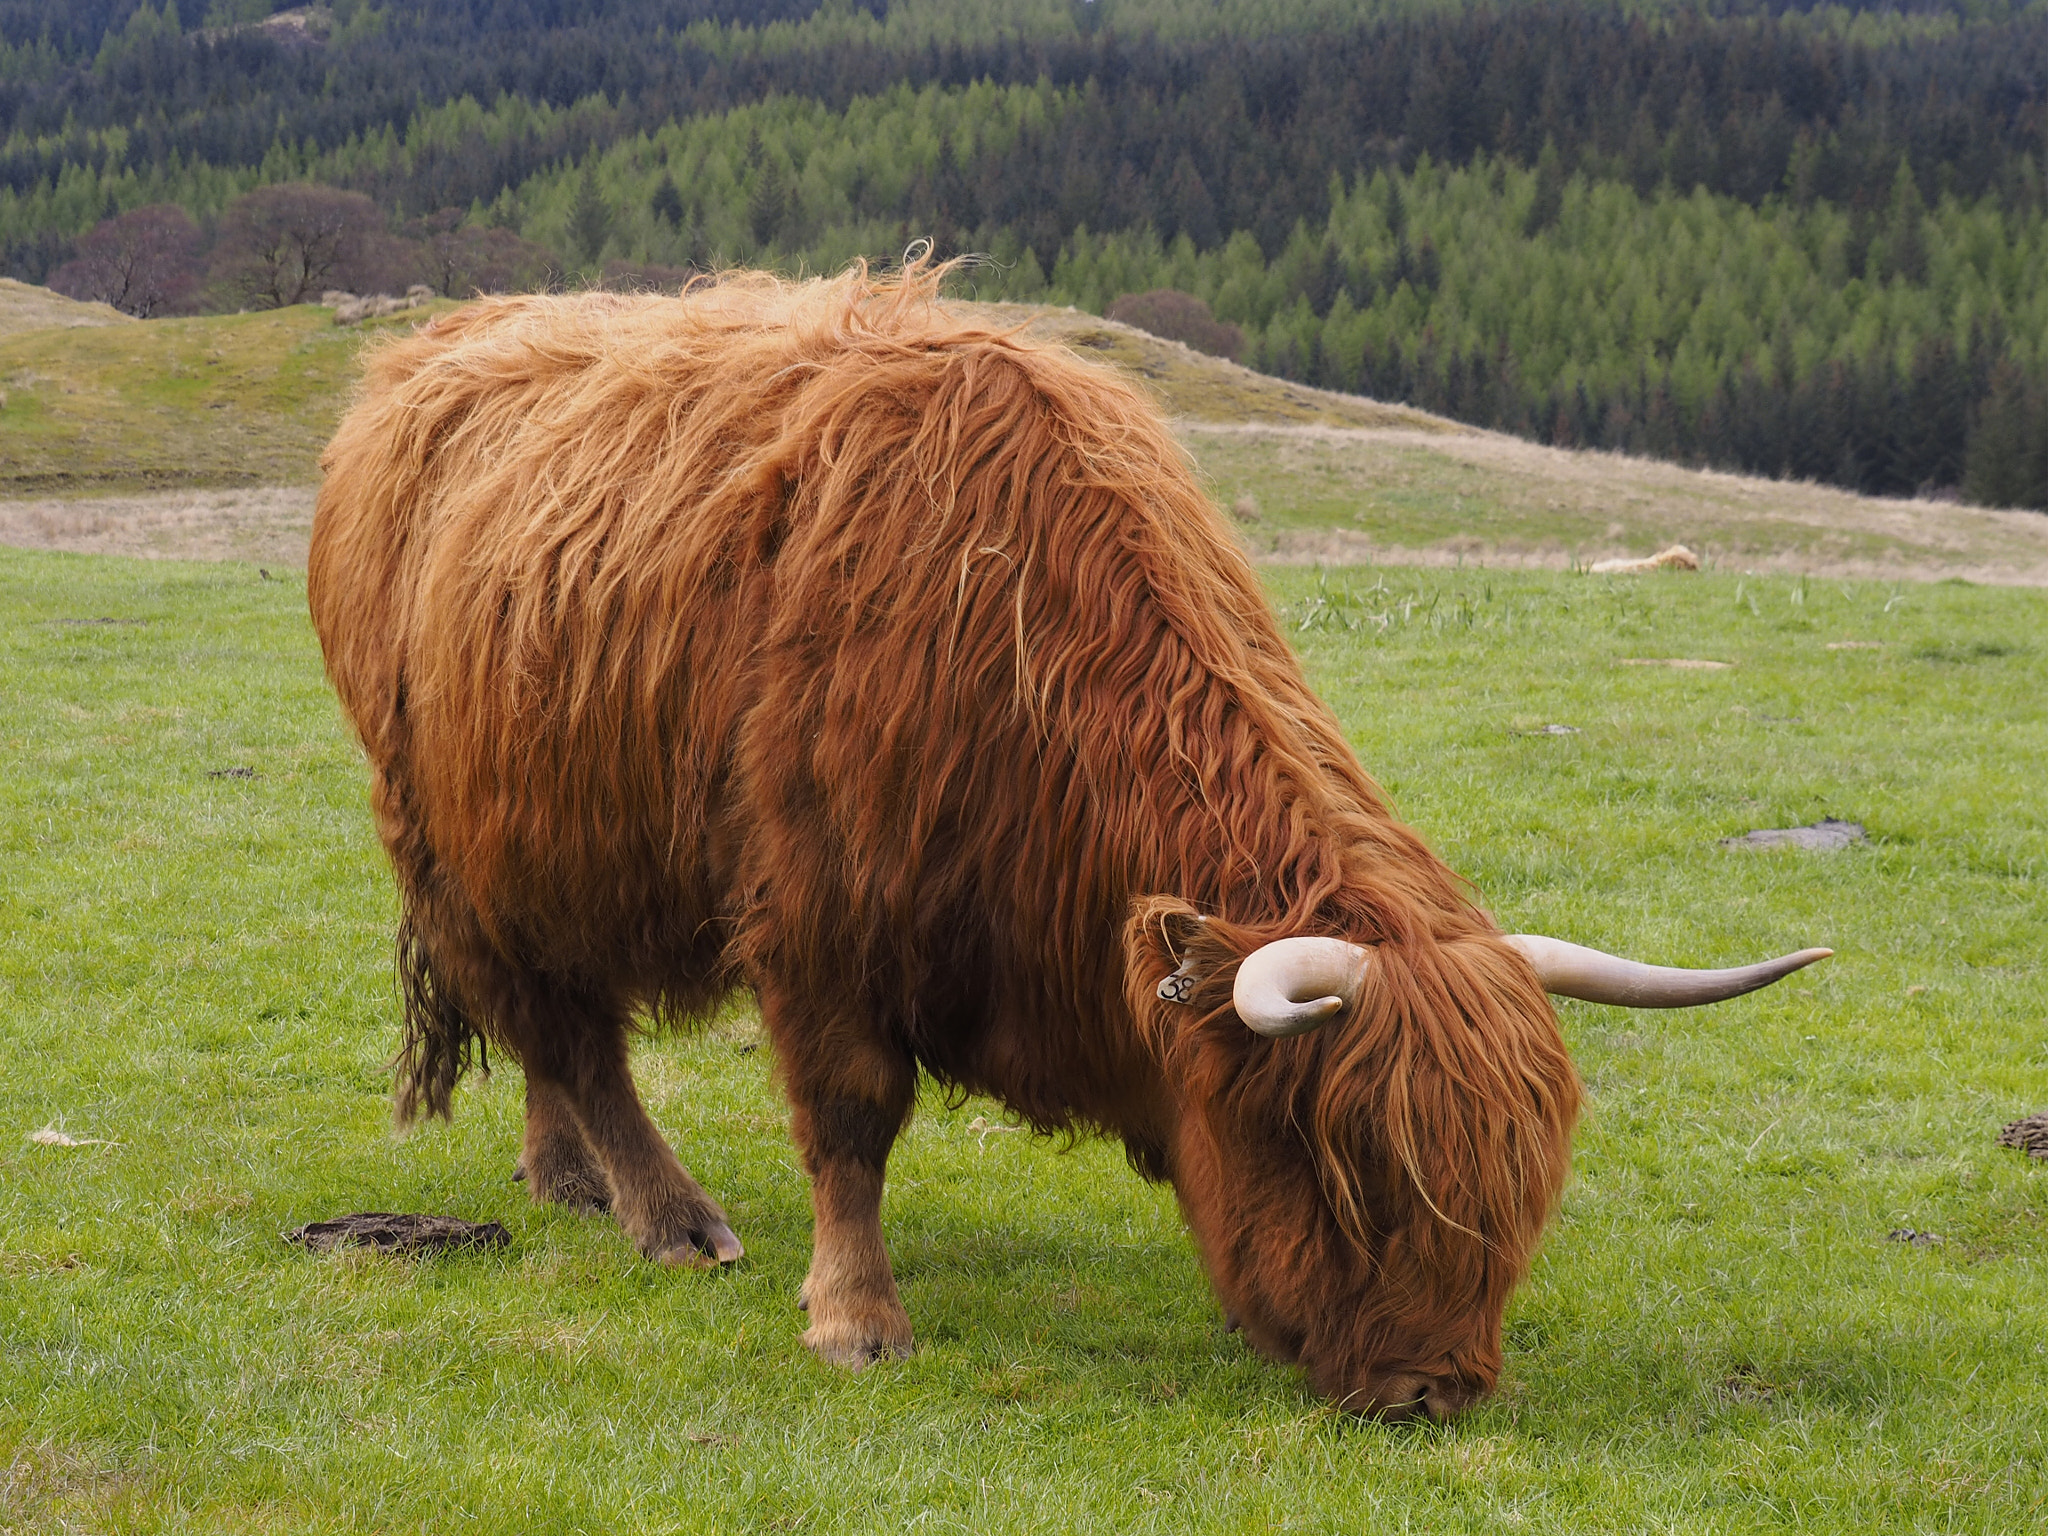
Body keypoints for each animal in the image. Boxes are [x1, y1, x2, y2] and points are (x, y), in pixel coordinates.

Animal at [307, 261, 1828, 1418]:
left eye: (1519, 1182)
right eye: (1344, 1168)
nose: (1434, 1391)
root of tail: (423, 356)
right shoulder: (817, 916)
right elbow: (850, 1120)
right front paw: (855, 1320)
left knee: (558, 1026)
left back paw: (561, 1176)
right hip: (456, 844)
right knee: (565, 1030)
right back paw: (666, 1215)